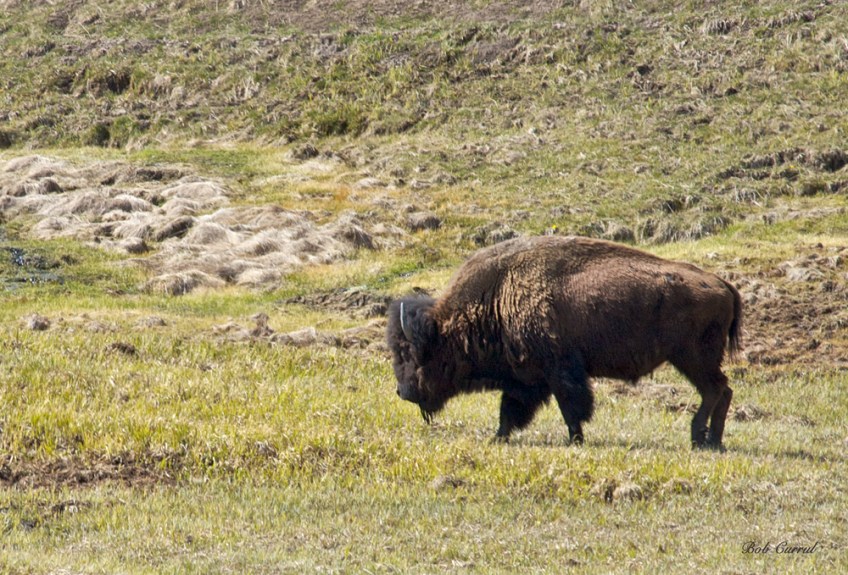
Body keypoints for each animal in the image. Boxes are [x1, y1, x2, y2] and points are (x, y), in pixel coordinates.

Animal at [387, 236, 742, 449]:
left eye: (413, 354)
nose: (402, 392)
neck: (496, 297)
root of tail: (721, 283)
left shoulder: (560, 372)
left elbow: (571, 407)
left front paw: (575, 440)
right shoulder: (525, 380)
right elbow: (509, 411)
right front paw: (497, 438)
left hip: (692, 358)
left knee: (714, 390)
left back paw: (698, 438)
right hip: (697, 360)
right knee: (723, 390)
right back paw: (714, 442)